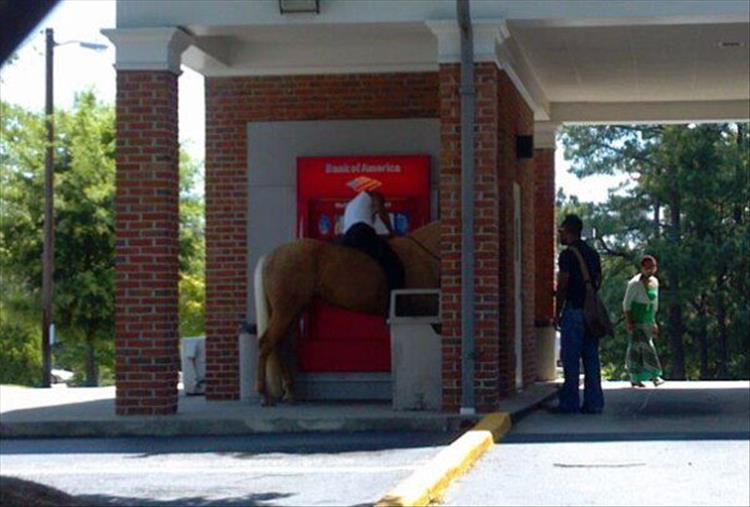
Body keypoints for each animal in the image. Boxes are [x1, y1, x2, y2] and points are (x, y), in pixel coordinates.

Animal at [253, 220, 440, 406]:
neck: (422, 256)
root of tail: (271, 256)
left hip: (293, 312)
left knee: (278, 345)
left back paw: (290, 393)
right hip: (285, 311)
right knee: (266, 344)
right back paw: (264, 395)